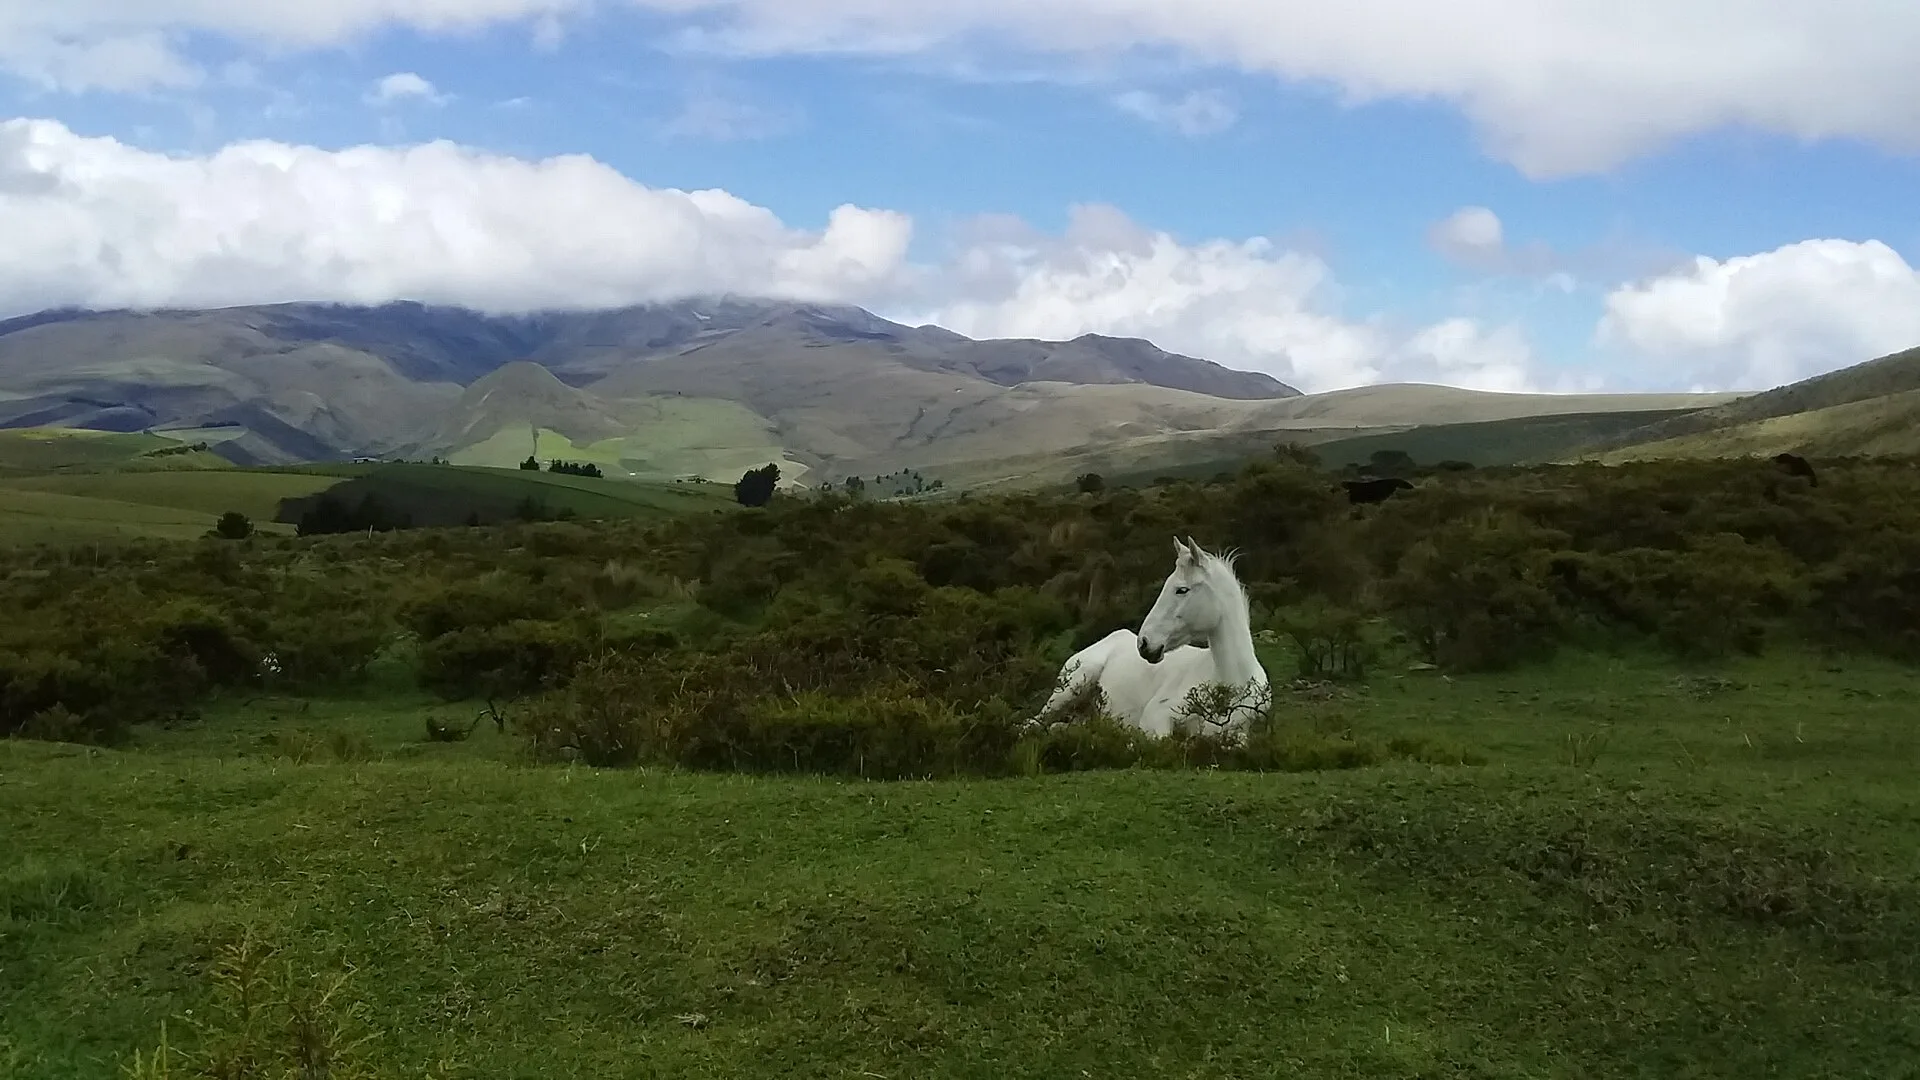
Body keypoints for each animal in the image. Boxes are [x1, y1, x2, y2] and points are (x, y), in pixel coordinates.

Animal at [1027, 536, 1271, 742]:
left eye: (1182, 590)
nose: (1144, 644)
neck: (1231, 684)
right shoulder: (1155, 717)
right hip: (1072, 687)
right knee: (1031, 724)